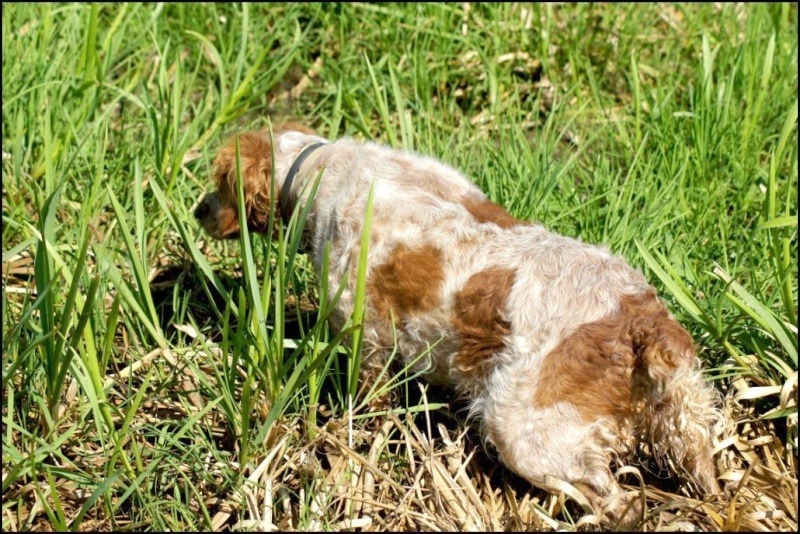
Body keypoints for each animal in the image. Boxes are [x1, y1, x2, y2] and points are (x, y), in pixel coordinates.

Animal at [195, 125, 724, 528]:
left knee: (619, 503)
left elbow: (369, 400)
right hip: (683, 415)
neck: (324, 168)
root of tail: (639, 318)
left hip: (522, 429)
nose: (198, 210)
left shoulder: (366, 336)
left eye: (219, 184)